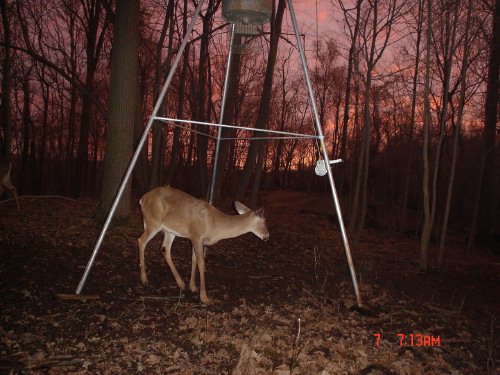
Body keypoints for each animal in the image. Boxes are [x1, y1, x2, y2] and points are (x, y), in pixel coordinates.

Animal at [137, 187, 270, 304]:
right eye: (264, 221)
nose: (267, 236)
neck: (215, 224)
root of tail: (142, 199)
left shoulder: (196, 239)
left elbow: (194, 259)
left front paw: (192, 287)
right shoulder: (196, 235)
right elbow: (201, 263)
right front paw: (204, 297)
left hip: (170, 230)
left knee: (165, 248)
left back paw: (180, 283)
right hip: (153, 222)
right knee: (141, 241)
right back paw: (144, 279)